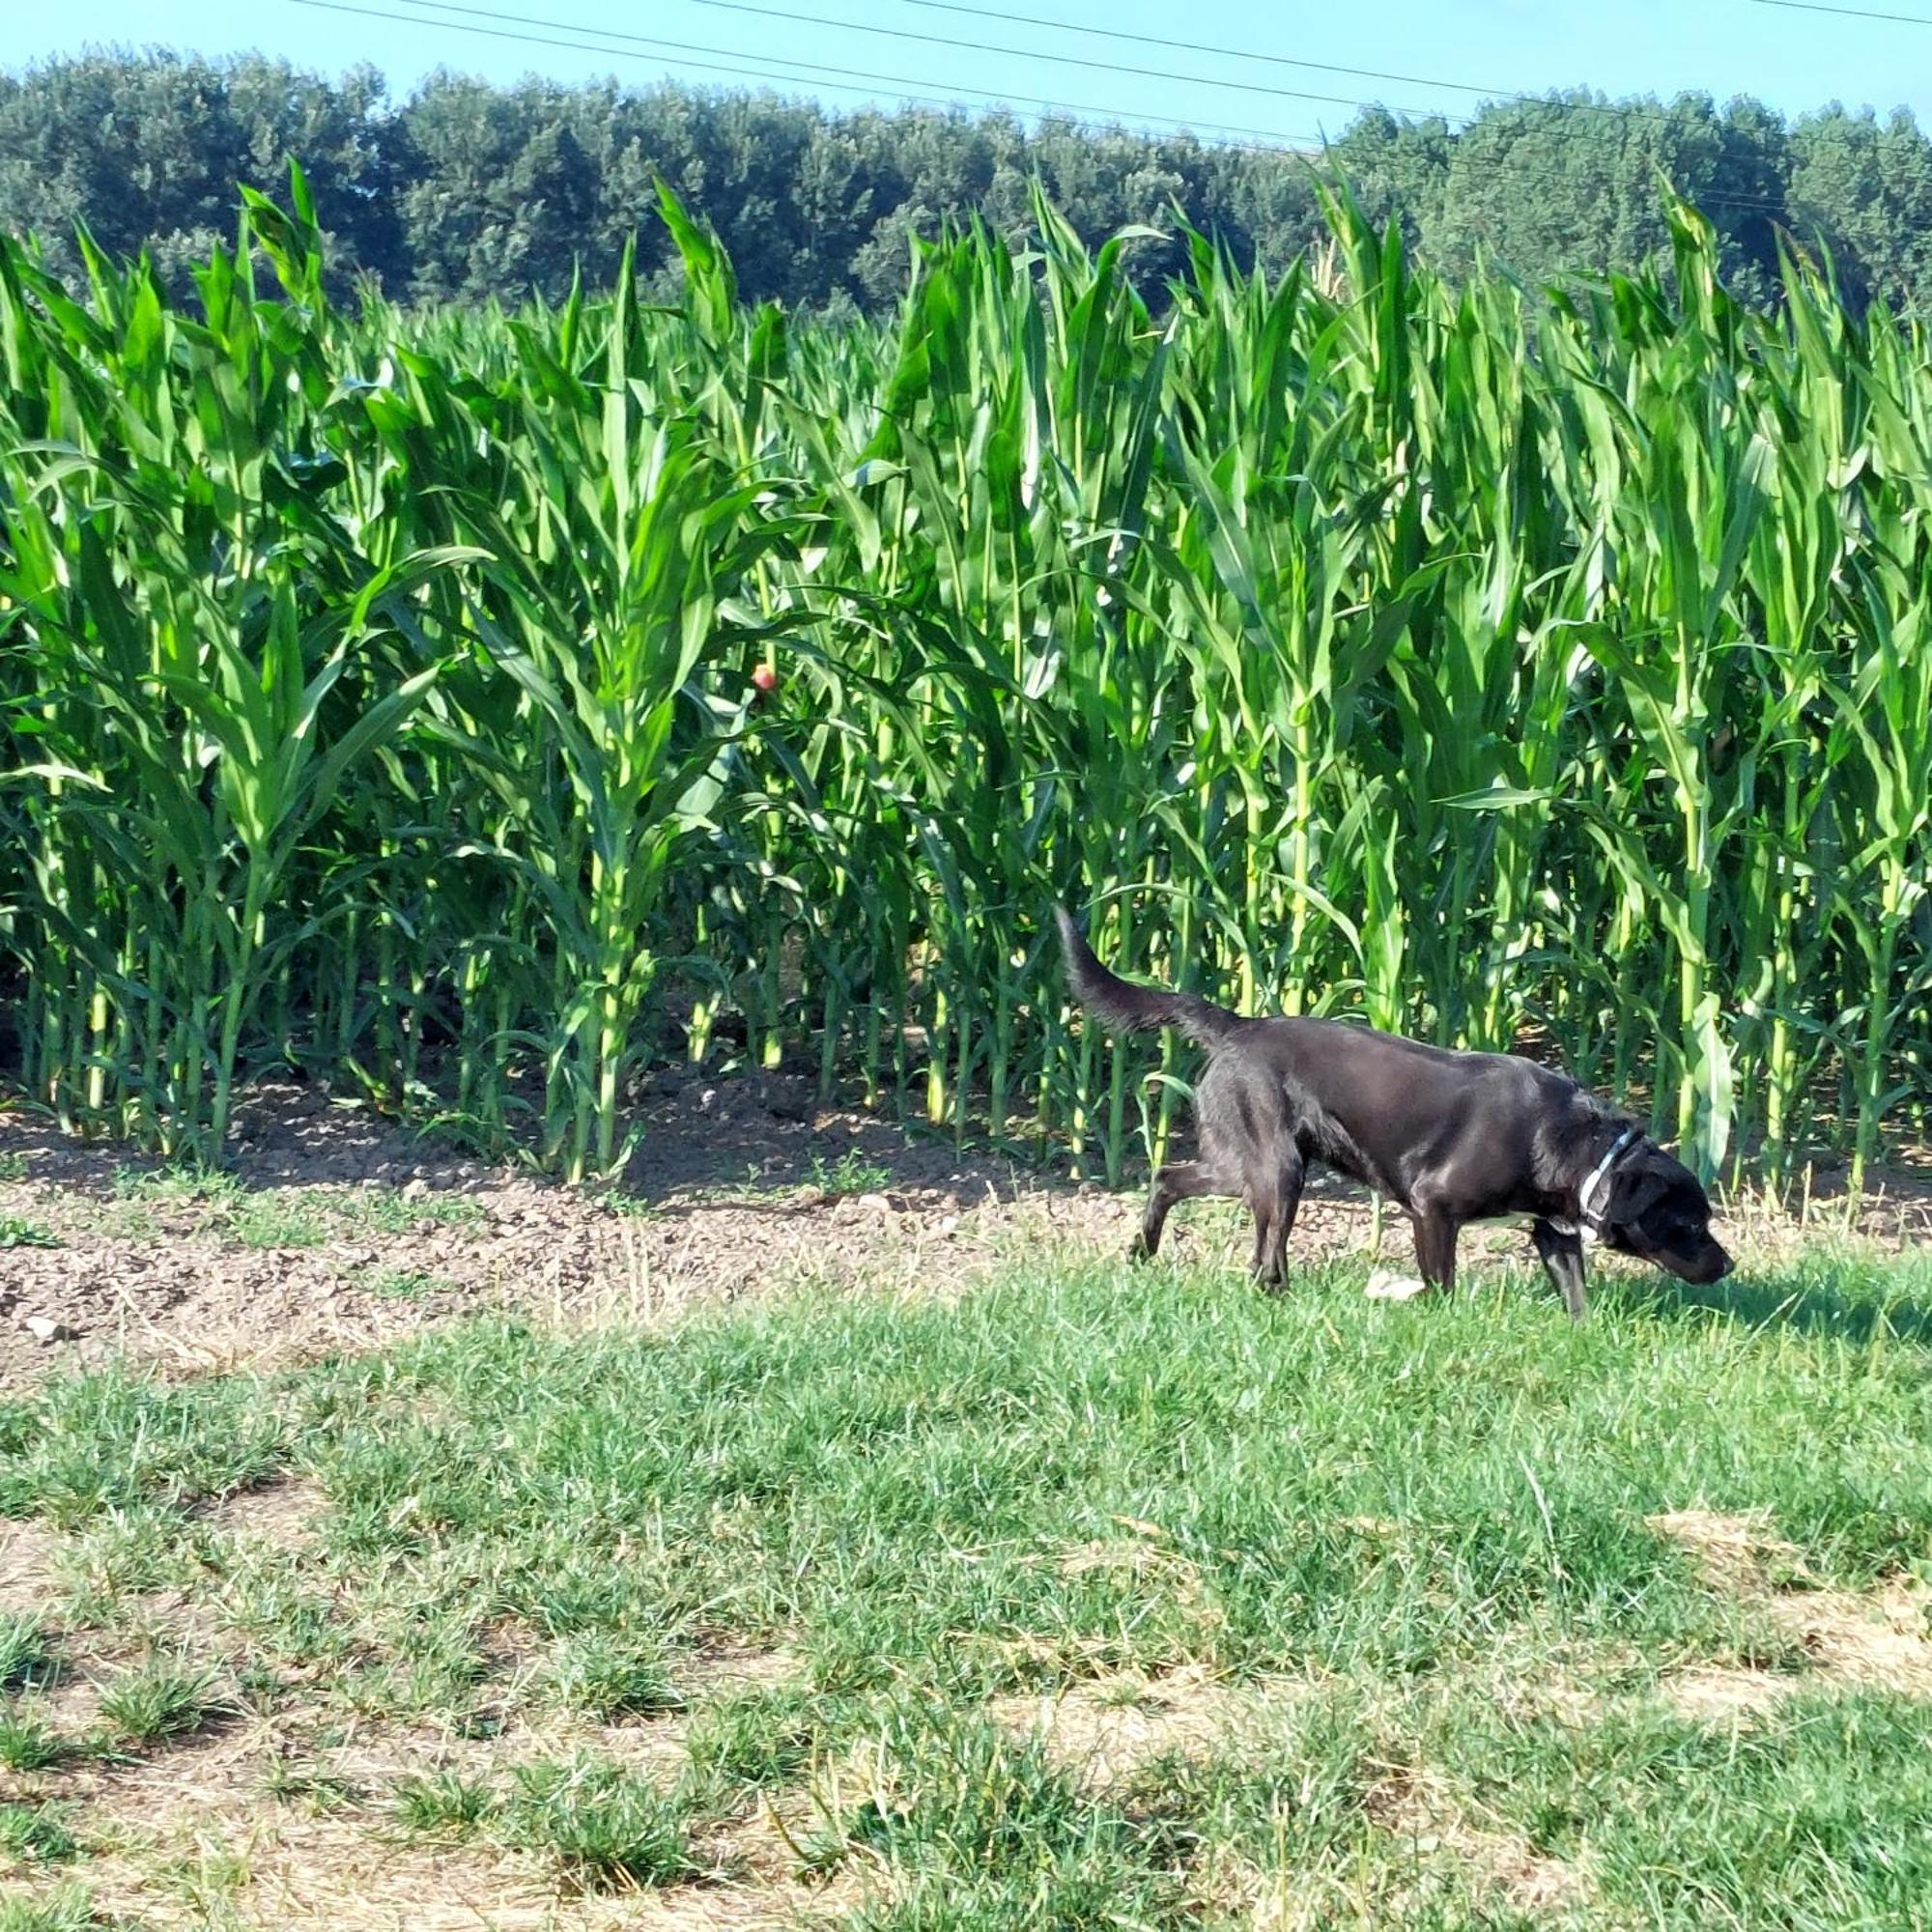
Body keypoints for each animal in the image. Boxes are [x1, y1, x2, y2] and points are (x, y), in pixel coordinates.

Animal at [1059, 904, 1739, 1314]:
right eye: (1688, 1223)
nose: (1729, 1265)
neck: (1583, 1149)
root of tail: (1238, 1025)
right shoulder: (1432, 1209)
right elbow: (1443, 1283)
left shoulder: (1554, 1232)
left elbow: (1577, 1297)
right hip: (1278, 1166)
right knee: (1262, 1239)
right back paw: (1270, 1291)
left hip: (1245, 1164)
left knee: (1173, 1179)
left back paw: (1148, 1252)